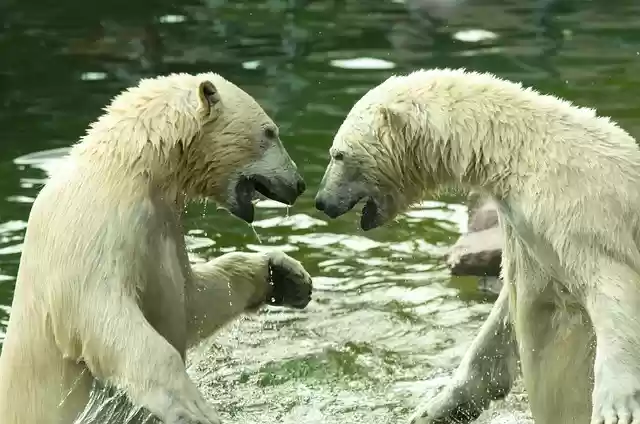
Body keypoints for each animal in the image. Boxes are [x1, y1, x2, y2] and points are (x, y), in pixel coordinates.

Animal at [0, 72, 313, 424]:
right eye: (270, 132)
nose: (299, 183)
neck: (128, 169)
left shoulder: (164, 227)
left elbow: (195, 300)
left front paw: (285, 275)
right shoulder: (92, 225)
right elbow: (105, 316)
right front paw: (195, 410)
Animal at [313, 67, 640, 424]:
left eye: (338, 154)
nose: (321, 201)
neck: (521, 152)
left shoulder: (582, 211)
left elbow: (614, 287)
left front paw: (615, 406)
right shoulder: (528, 235)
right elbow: (505, 322)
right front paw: (433, 409)